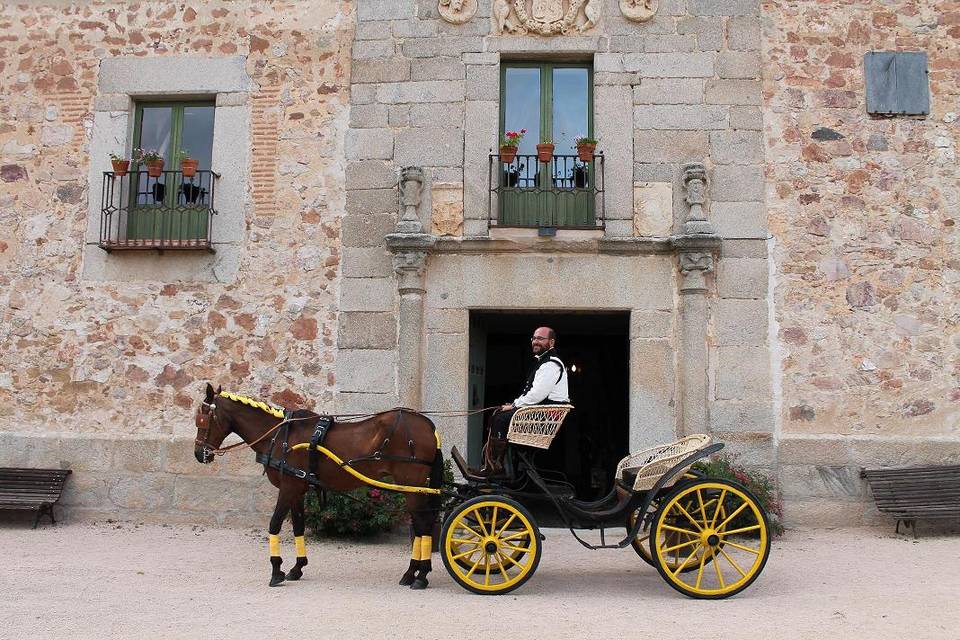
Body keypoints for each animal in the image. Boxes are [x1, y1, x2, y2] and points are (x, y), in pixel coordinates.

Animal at [192, 384, 446, 592]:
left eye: (202, 420)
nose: (199, 454)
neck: (280, 436)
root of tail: (427, 425)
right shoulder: (297, 490)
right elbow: (298, 526)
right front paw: (297, 568)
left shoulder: (288, 488)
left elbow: (274, 524)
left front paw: (276, 570)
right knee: (421, 525)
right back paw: (413, 573)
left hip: (412, 484)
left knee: (423, 525)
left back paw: (420, 575)